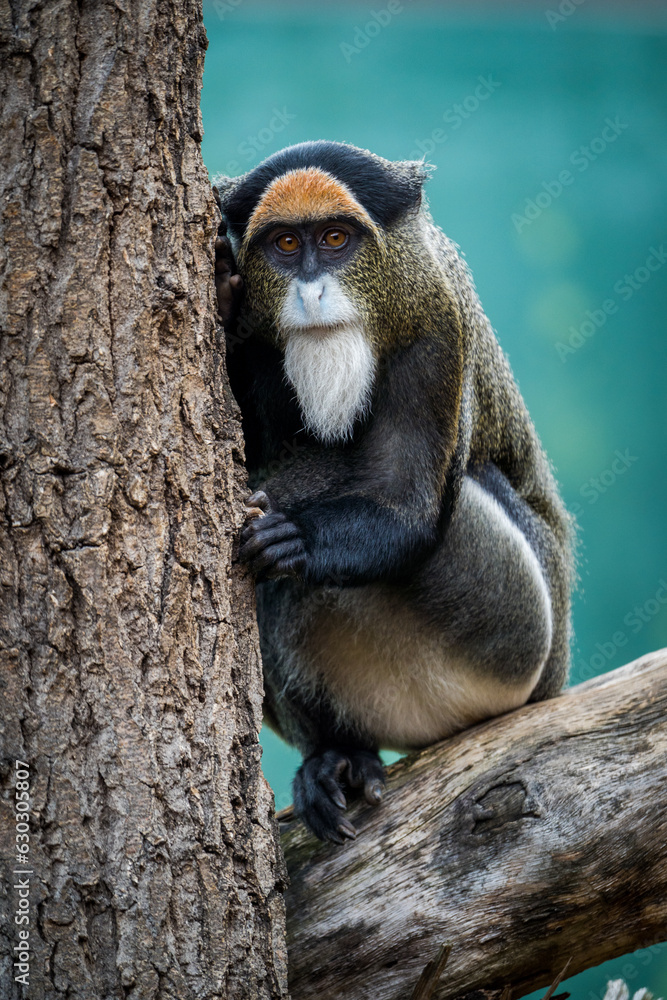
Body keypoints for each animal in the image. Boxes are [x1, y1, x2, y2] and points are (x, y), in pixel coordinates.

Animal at [213, 141, 574, 844]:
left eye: (335, 239)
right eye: (285, 245)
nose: (311, 290)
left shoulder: (436, 320)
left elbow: (405, 509)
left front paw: (293, 540)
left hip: (513, 629)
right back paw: (338, 756)